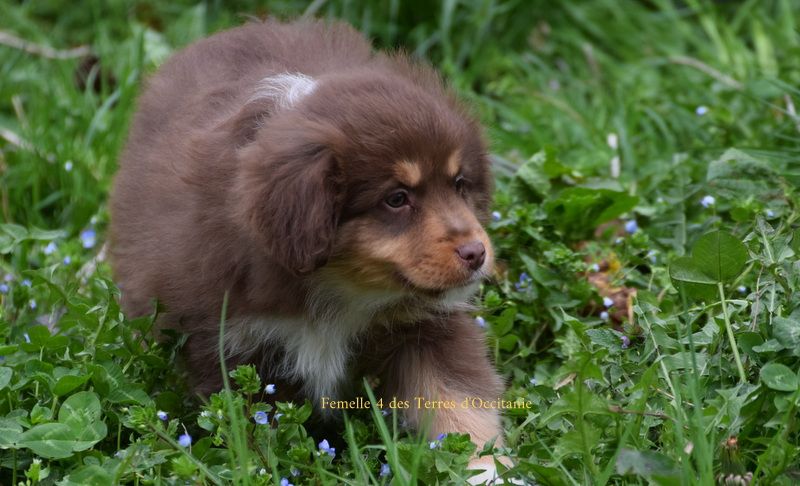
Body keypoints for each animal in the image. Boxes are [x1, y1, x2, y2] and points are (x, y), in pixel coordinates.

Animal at [110, 18, 506, 478]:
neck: (340, 287)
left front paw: (494, 472)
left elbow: (461, 409)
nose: (476, 254)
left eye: (460, 184)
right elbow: (259, 437)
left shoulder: (428, 326)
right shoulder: (236, 348)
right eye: (396, 198)